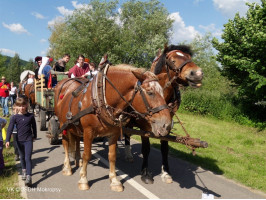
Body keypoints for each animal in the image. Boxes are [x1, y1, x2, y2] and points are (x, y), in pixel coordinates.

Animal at [53, 64, 172, 192]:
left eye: (162, 92)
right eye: (150, 92)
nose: (167, 125)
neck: (100, 98)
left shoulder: (114, 133)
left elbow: (112, 156)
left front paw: (114, 181)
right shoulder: (88, 132)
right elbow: (87, 155)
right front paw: (83, 180)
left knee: (75, 140)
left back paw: (77, 160)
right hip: (62, 124)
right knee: (65, 143)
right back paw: (67, 167)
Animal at [123, 45, 203, 184]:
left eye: (189, 57)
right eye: (172, 60)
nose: (198, 73)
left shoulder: (166, 125)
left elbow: (165, 149)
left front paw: (166, 172)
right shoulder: (144, 127)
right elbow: (146, 149)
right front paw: (145, 173)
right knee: (126, 133)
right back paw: (128, 154)